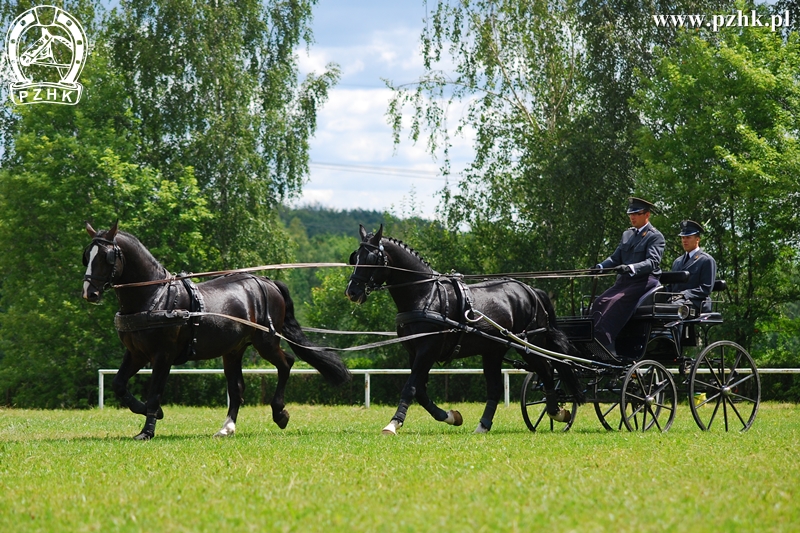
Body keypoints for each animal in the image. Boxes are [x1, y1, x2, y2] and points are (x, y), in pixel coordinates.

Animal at [80, 221, 350, 440]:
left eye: (107, 256)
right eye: (87, 256)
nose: (89, 293)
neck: (155, 296)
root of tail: (267, 282)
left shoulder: (163, 355)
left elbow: (155, 392)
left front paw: (147, 430)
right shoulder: (136, 354)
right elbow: (119, 384)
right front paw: (150, 411)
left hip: (265, 342)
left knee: (286, 363)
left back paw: (279, 413)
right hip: (233, 351)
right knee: (237, 388)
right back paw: (227, 428)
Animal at [346, 223, 588, 432]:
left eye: (371, 259)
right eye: (355, 257)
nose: (352, 291)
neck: (425, 294)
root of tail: (530, 290)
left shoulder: (427, 350)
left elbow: (411, 387)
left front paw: (393, 423)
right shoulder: (414, 352)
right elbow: (420, 390)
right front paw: (451, 416)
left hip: (529, 344)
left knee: (547, 371)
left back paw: (556, 412)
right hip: (493, 351)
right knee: (497, 387)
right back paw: (483, 425)